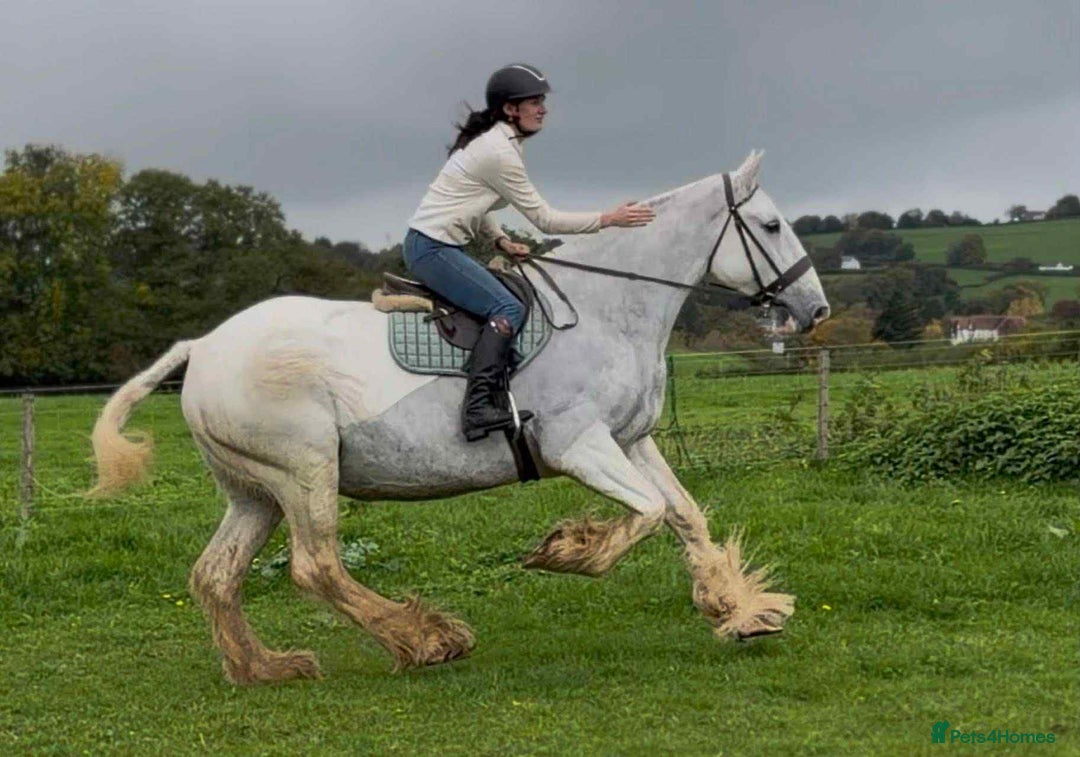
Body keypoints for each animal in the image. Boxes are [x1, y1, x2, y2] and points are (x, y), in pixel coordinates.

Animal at [90, 151, 830, 683]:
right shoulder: (578, 445)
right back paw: (427, 639)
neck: (607, 310)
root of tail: (203, 345)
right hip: (303, 471)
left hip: (256, 490)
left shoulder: (631, 439)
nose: (815, 309)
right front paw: (568, 550)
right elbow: (647, 513)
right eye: (770, 226)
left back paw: (266, 667)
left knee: (217, 575)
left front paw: (742, 611)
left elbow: (683, 513)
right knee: (316, 566)